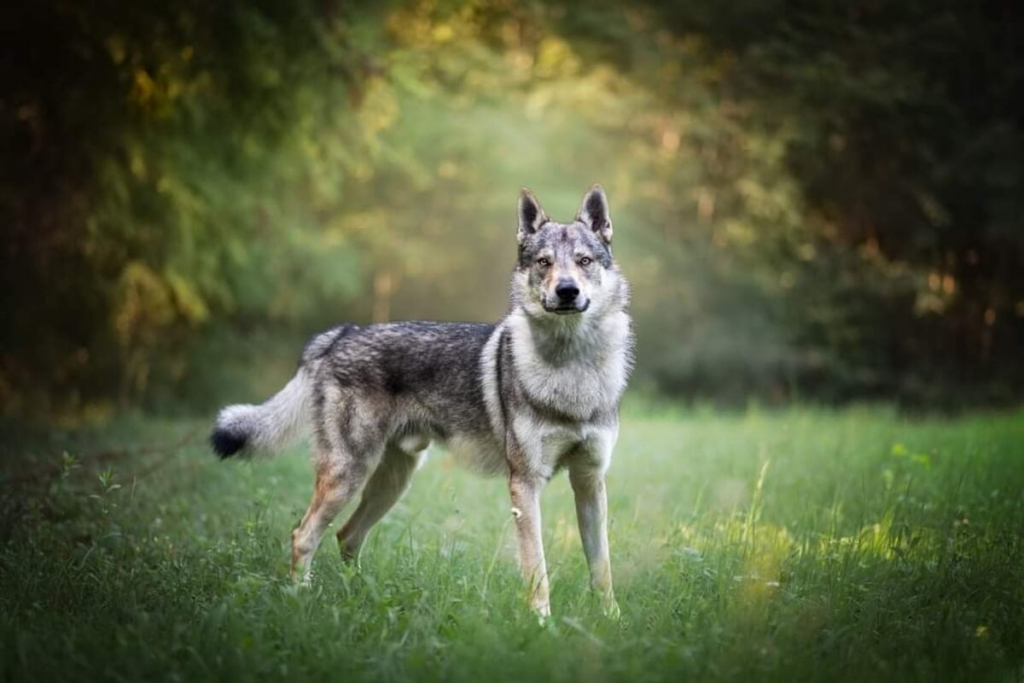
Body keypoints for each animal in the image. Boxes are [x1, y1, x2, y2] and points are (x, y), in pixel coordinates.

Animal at [211, 185, 633, 617]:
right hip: (348, 476)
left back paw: (357, 599)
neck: (572, 368)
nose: (567, 291)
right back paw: (301, 600)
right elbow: (538, 568)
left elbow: (602, 567)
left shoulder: (590, 481)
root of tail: (341, 333)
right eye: (544, 263)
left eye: (584, 261)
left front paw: (610, 620)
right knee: (303, 535)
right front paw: (541, 623)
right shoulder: (526, 484)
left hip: (392, 483)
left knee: (346, 536)